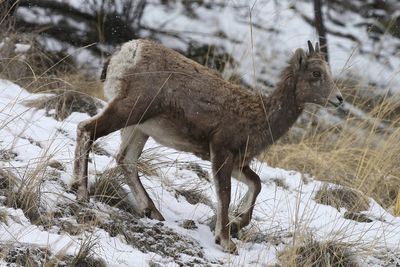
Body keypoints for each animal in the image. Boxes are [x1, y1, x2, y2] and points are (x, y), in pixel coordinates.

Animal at [73, 39, 342, 253]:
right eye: (316, 73)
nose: (338, 99)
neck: (257, 117)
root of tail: (127, 52)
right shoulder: (221, 150)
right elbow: (225, 194)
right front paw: (225, 240)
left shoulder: (236, 161)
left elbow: (256, 184)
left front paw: (236, 224)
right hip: (130, 110)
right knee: (87, 129)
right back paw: (82, 191)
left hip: (140, 127)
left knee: (125, 159)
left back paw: (152, 211)